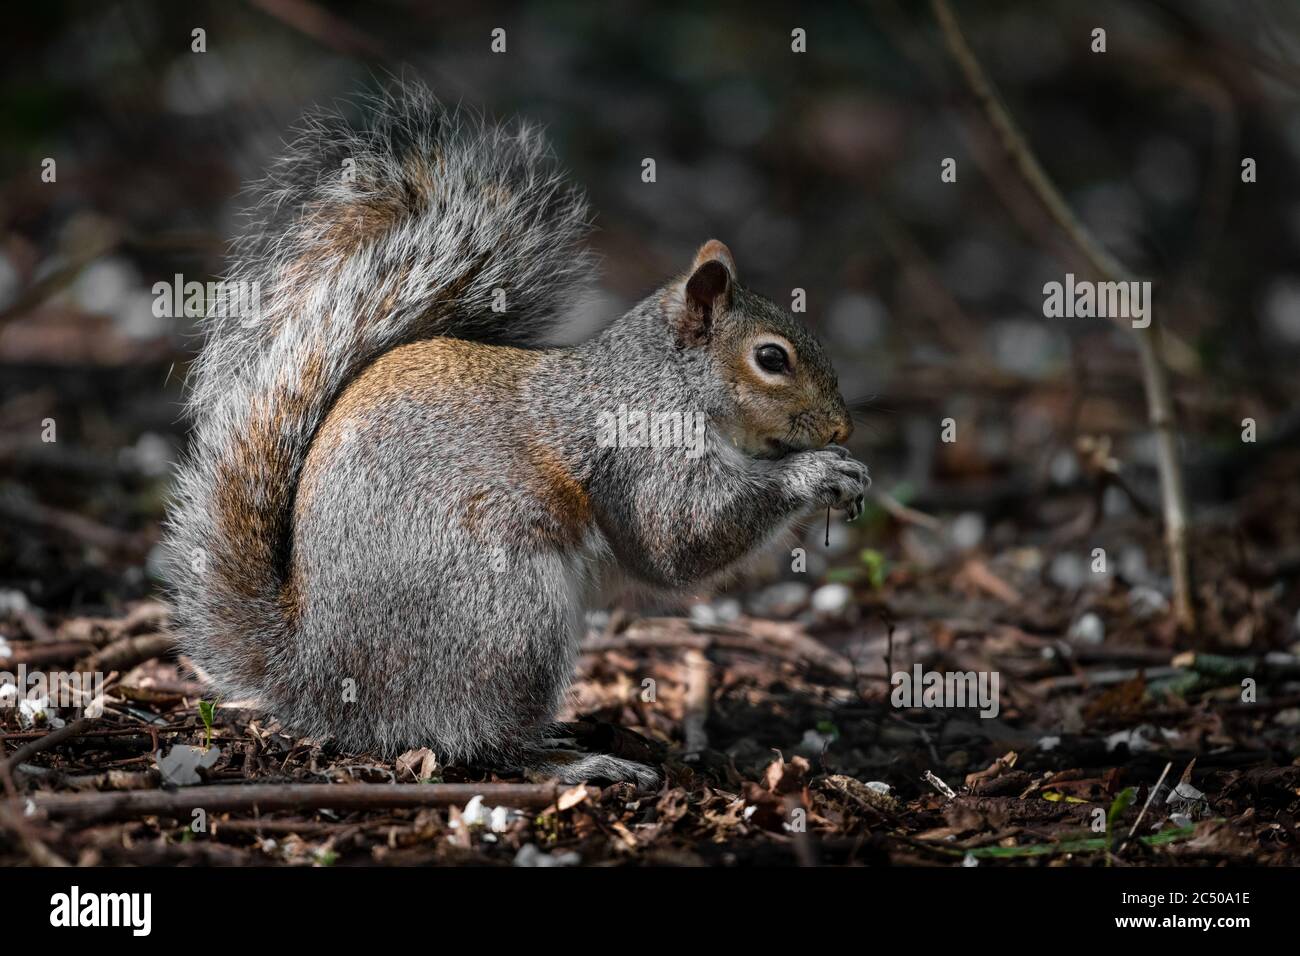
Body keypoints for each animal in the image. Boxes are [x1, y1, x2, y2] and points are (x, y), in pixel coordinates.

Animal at [163, 82, 868, 787]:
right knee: (478, 738)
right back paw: (576, 763)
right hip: (507, 614)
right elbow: (681, 536)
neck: (668, 380)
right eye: (771, 358)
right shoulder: (642, 450)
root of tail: (321, 673)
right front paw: (820, 472)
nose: (843, 425)